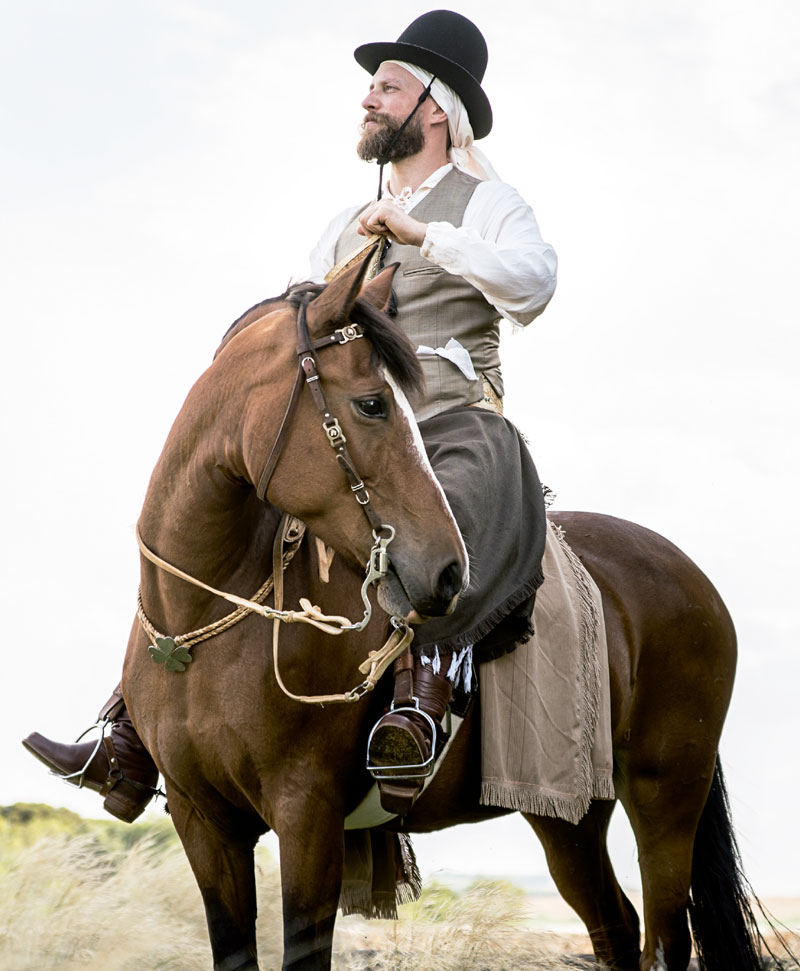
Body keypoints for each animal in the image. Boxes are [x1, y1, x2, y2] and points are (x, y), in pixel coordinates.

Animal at [123, 260, 776, 971]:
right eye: (372, 403)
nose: (449, 571)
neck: (199, 630)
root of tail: (692, 578)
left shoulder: (306, 816)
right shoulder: (204, 824)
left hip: (666, 795)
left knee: (663, 936)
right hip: (568, 813)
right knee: (616, 927)